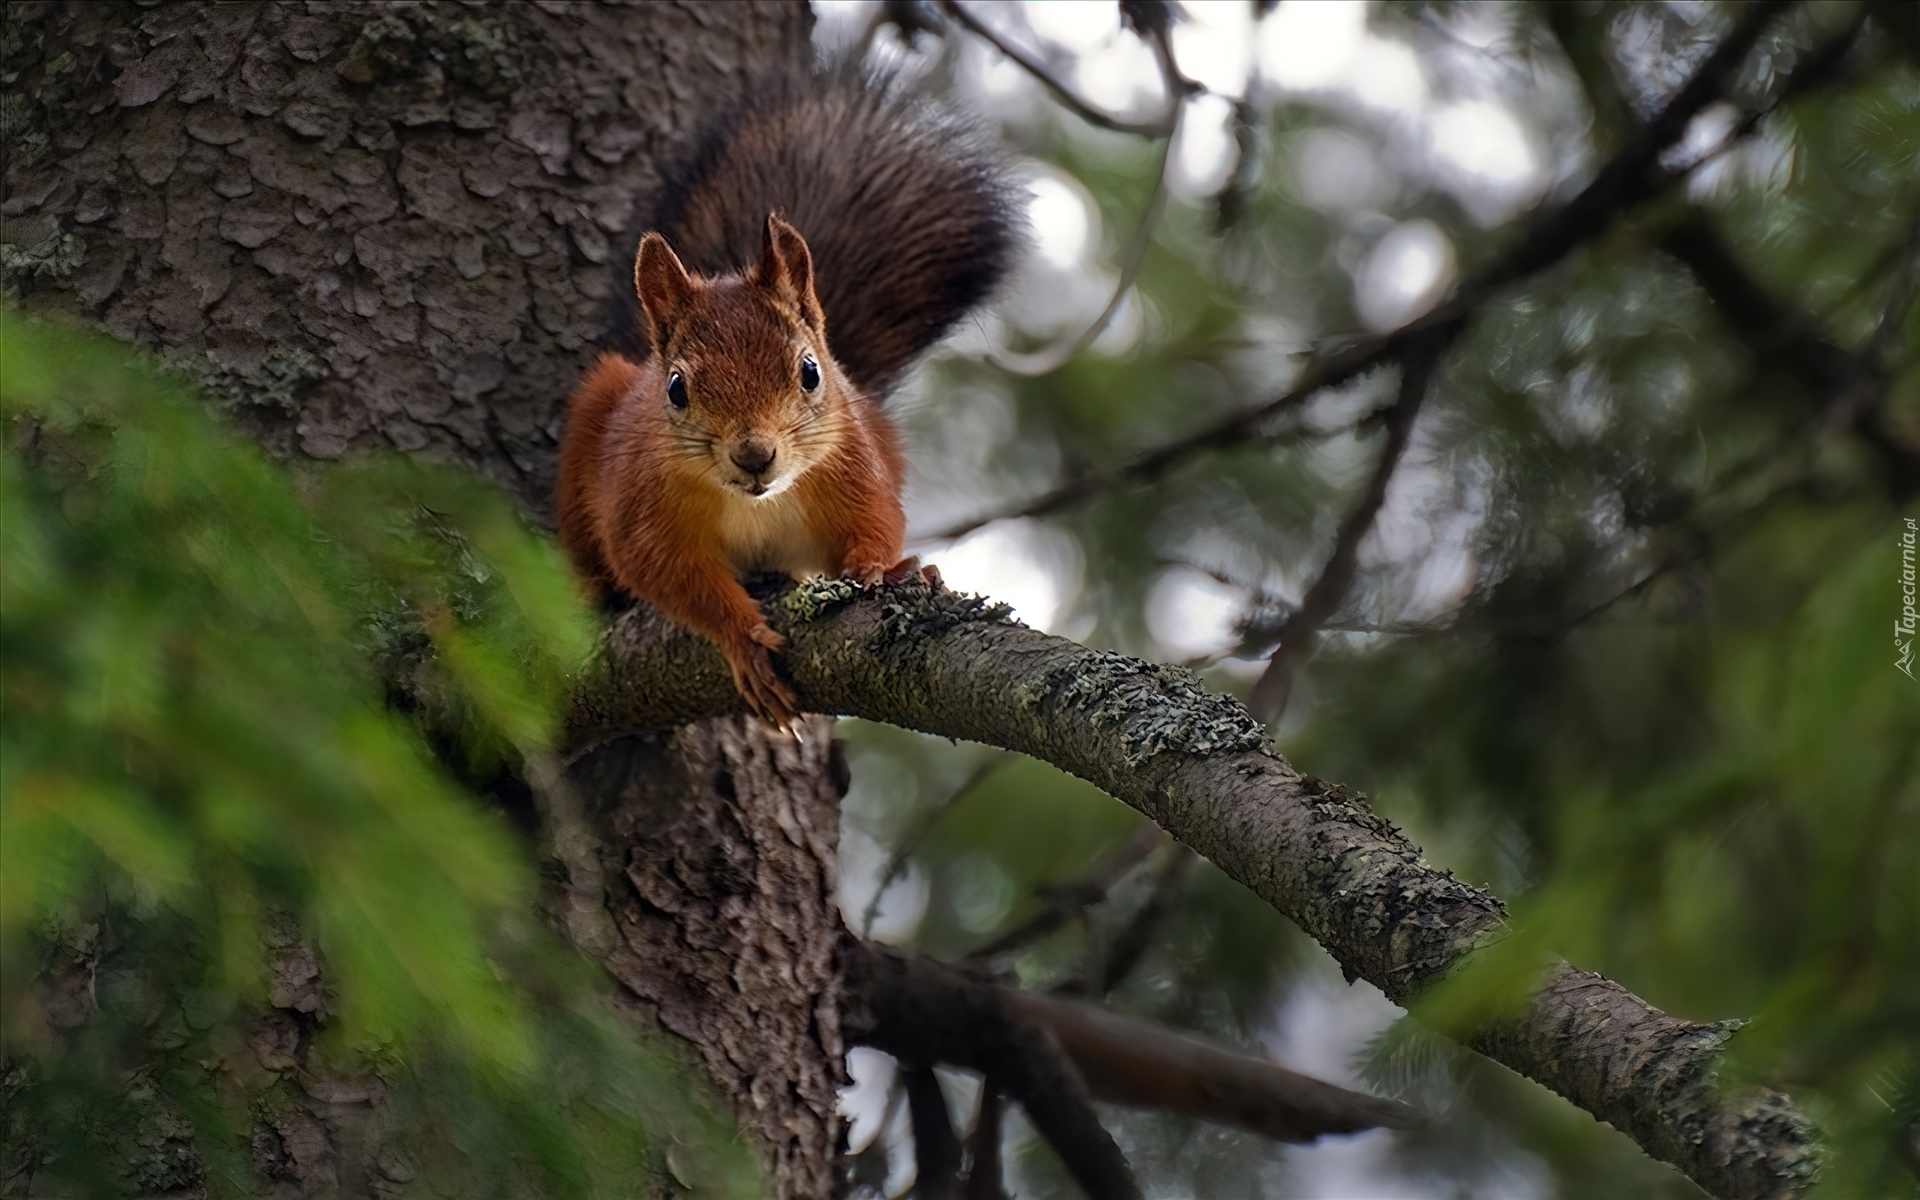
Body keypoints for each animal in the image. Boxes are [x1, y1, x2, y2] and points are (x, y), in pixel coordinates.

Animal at [552, 77, 1013, 729]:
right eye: (676, 388)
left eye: (811, 372)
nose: (754, 456)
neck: (757, 503)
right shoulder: (642, 511)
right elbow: (670, 576)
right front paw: (742, 636)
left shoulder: (854, 466)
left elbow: (878, 522)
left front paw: (886, 568)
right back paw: (590, 589)